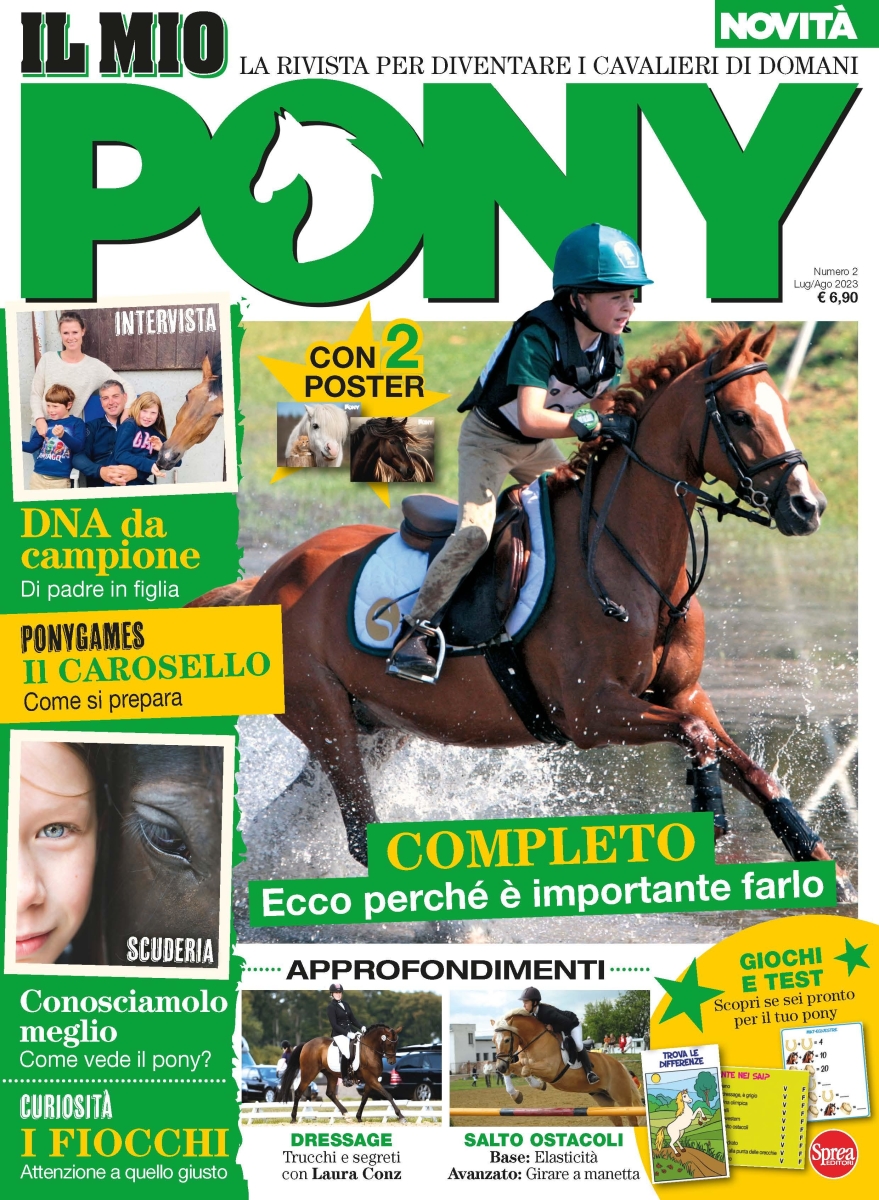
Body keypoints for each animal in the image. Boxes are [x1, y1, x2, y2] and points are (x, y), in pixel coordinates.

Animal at [189, 323, 854, 899]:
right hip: (325, 717)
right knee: (360, 834)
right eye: (740, 417)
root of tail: (266, 582)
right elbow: (696, 738)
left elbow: (745, 764)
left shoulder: (683, 692)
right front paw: (708, 809)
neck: (632, 559)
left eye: (782, 410)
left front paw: (829, 871)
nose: (809, 507)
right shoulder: (591, 714)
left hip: (371, 726)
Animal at [276, 1024, 406, 1123]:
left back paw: (346, 1115)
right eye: (389, 1044)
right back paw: (293, 1118)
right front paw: (401, 1116)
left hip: (331, 1075)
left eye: (396, 1044)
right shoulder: (371, 1079)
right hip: (309, 1073)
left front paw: (359, 1117)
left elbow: (364, 1098)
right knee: (298, 1092)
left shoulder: (370, 1081)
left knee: (330, 1093)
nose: (392, 1062)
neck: (369, 1050)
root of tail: (307, 1044)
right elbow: (388, 1095)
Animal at [490, 1010, 644, 1126]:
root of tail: (619, 1064)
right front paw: (516, 1095)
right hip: (604, 1099)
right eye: (493, 1041)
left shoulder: (550, 1070)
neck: (534, 1041)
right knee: (617, 1121)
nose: (499, 1067)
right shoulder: (520, 1063)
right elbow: (514, 1070)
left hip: (622, 1097)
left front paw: (539, 1085)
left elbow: (525, 1070)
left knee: (632, 1120)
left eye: (507, 1040)